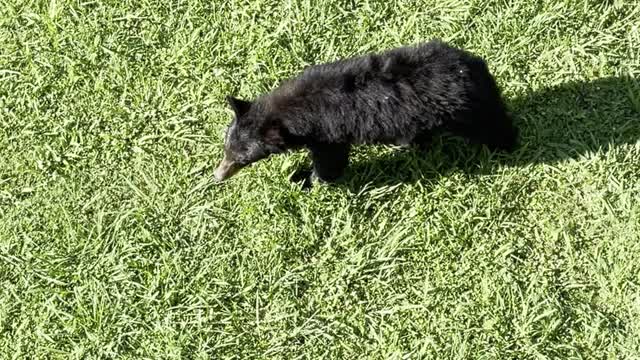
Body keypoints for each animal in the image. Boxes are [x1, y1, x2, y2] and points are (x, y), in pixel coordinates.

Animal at [212, 40, 516, 183]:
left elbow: (330, 162)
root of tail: (474, 65)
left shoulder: (327, 132)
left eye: (242, 158)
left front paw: (307, 180)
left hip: (466, 110)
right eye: (226, 148)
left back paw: (506, 146)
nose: (217, 175)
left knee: (492, 124)